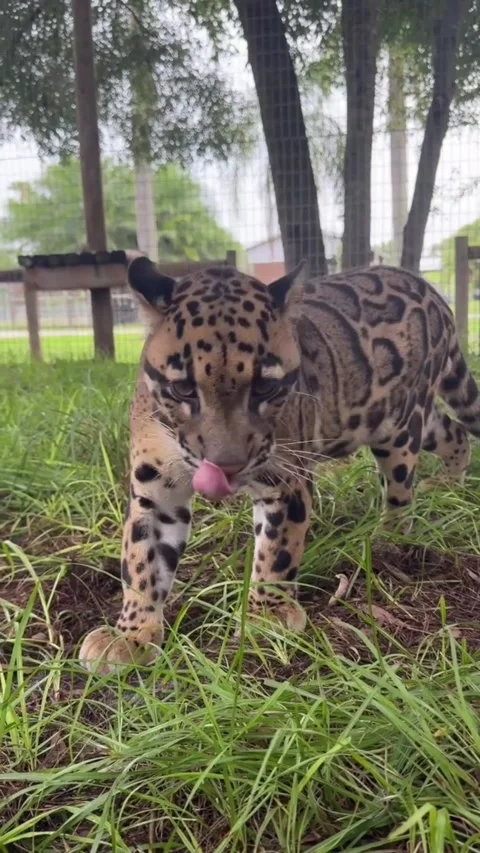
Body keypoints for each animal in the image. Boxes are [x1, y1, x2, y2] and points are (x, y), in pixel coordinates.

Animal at [79, 256, 480, 673]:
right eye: (183, 388)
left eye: (265, 387)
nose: (227, 466)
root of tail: (429, 290)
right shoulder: (155, 490)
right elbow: (142, 559)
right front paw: (131, 634)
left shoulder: (285, 479)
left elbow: (278, 549)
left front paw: (266, 616)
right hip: (399, 419)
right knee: (453, 430)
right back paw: (450, 485)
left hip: (399, 426)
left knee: (402, 487)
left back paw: (390, 539)